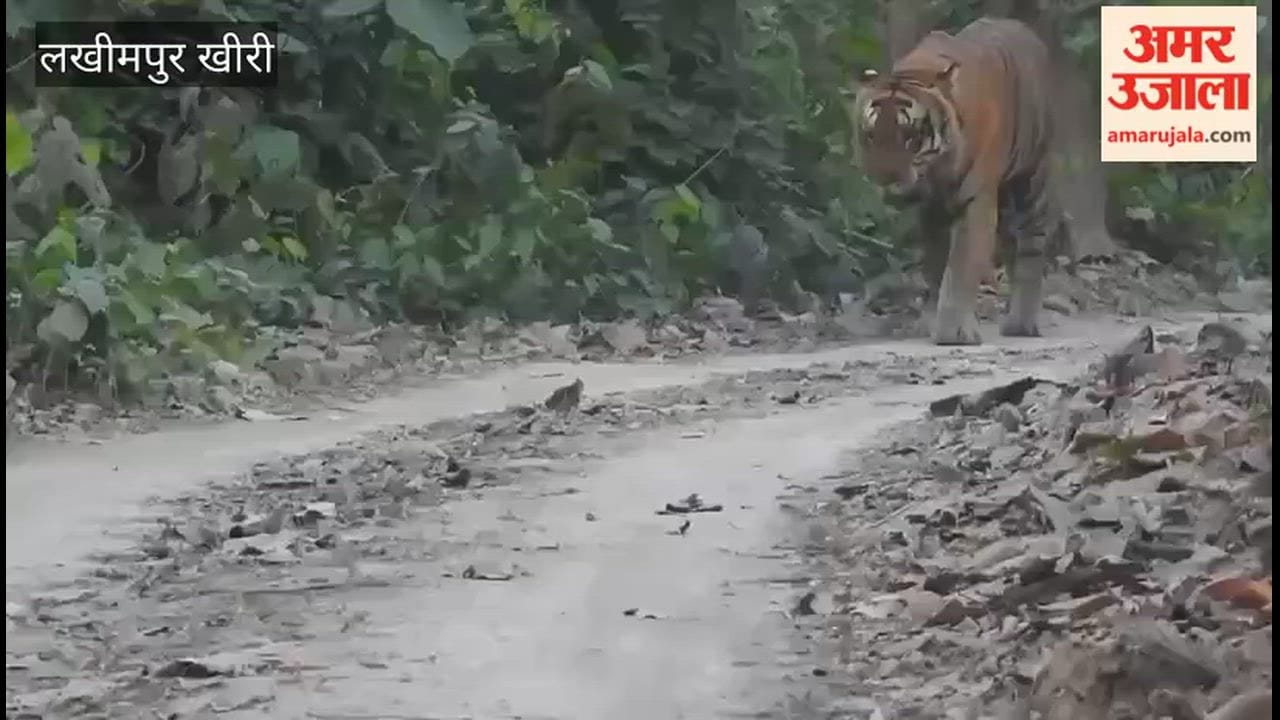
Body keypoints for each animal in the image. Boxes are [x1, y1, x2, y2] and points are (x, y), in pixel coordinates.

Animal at [848, 17, 1061, 346]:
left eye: (908, 137)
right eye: (872, 135)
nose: (884, 179)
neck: (935, 174)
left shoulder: (975, 202)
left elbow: (959, 268)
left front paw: (954, 333)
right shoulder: (931, 211)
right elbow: (935, 269)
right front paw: (931, 323)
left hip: (1031, 178)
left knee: (1031, 248)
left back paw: (1021, 324)